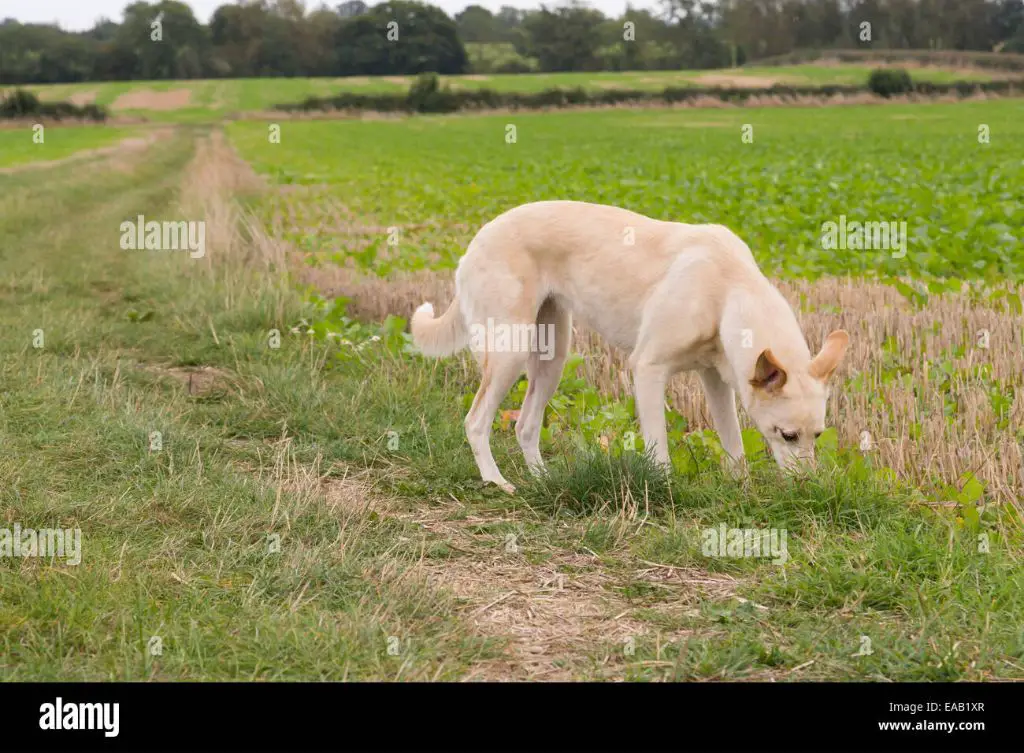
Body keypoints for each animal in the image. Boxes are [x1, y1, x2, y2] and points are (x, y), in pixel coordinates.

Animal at [407, 201, 847, 495]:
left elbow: (734, 444)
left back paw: (543, 479)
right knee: (476, 421)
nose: (808, 488)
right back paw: (496, 481)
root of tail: (477, 238)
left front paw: (742, 489)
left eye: (818, 435)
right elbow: (659, 447)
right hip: (509, 353)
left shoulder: (716, 381)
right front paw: (665, 490)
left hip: (553, 357)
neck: (728, 287)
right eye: (787, 435)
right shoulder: (648, 370)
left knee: (524, 425)